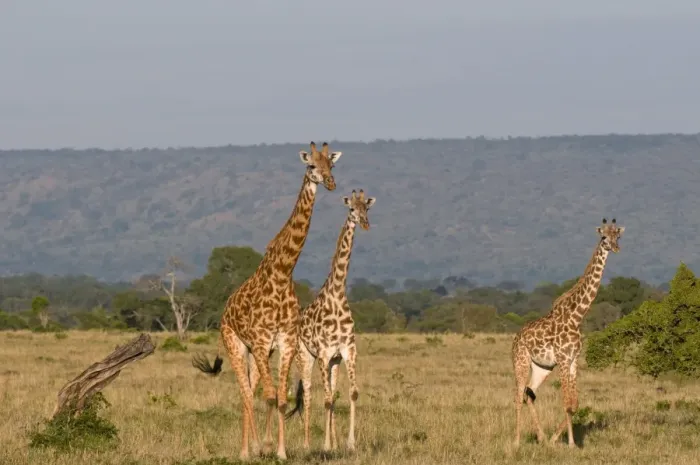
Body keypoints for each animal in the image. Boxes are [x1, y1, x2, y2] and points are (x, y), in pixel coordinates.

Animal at [191, 141, 342, 461]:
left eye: (332, 165)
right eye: (311, 165)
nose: (330, 183)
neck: (283, 273)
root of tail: (225, 309)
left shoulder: (284, 343)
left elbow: (282, 399)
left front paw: (281, 451)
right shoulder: (262, 342)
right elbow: (270, 397)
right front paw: (265, 447)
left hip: (256, 354)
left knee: (252, 390)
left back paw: (249, 447)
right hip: (236, 345)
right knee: (246, 395)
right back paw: (247, 450)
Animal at [285, 189, 376, 452]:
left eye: (367, 208)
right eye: (352, 209)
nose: (365, 224)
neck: (337, 294)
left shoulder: (347, 350)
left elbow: (351, 393)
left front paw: (349, 443)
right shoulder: (324, 353)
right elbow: (324, 399)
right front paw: (325, 445)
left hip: (334, 362)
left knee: (332, 394)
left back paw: (334, 442)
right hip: (305, 357)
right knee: (308, 394)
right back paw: (307, 443)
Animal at [511, 218, 625, 448]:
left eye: (618, 235)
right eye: (603, 237)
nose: (616, 248)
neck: (576, 316)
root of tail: (515, 339)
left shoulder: (573, 360)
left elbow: (574, 403)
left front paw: (559, 439)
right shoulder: (563, 360)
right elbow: (566, 402)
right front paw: (571, 443)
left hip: (542, 368)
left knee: (529, 394)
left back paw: (542, 438)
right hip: (521, 362)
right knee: (518, 396)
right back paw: (517, 442)